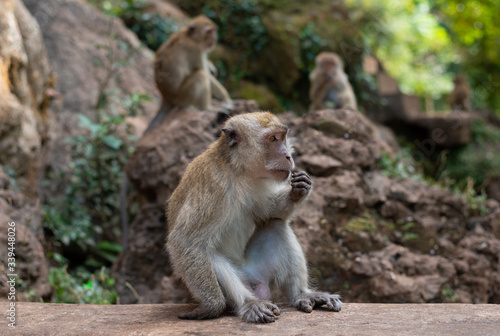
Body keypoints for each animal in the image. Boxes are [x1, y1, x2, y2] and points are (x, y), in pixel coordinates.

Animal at [166, 111, 342, 322]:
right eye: (272, 139)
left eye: (282, 137)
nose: (288, 155)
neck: (237, 169)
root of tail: (255, 285)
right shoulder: (215, 185)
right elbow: (185, 242)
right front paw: (210, 307)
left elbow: (268, 212)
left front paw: (298, 190)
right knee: (210, 255)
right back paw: (249, 304)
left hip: (258, 273)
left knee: (276, 226)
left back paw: (302, 295)